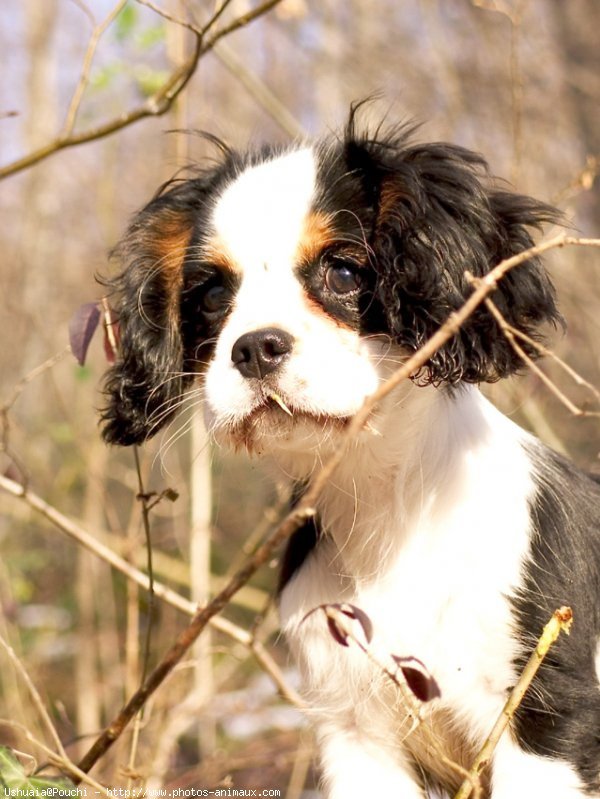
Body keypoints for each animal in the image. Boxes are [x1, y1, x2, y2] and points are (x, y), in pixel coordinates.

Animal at [102, 112, 600, 799]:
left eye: (343, 273)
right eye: (211, 297)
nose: (254, 348)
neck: (386, 500)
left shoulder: (547, 721)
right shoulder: (355, 734)